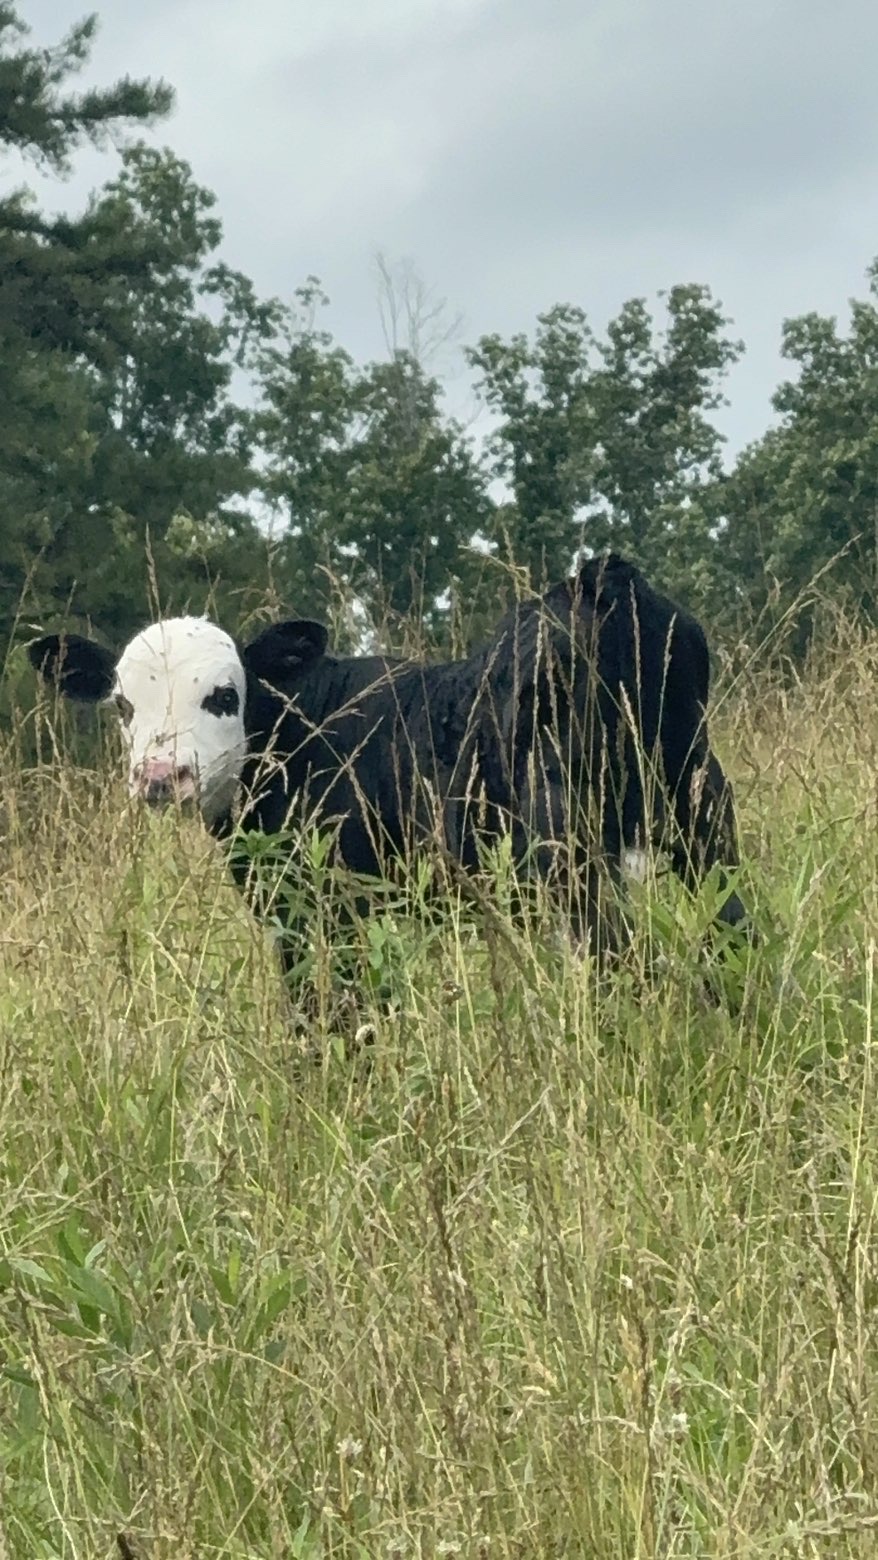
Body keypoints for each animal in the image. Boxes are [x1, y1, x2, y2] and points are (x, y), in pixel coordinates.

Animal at [27, 554, 748, 992]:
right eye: (123, 705)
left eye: (224, 696)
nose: (159, 775)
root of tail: (597, 583)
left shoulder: (319, 908)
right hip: (699, 807)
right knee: (734, 932)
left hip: (566, 845)